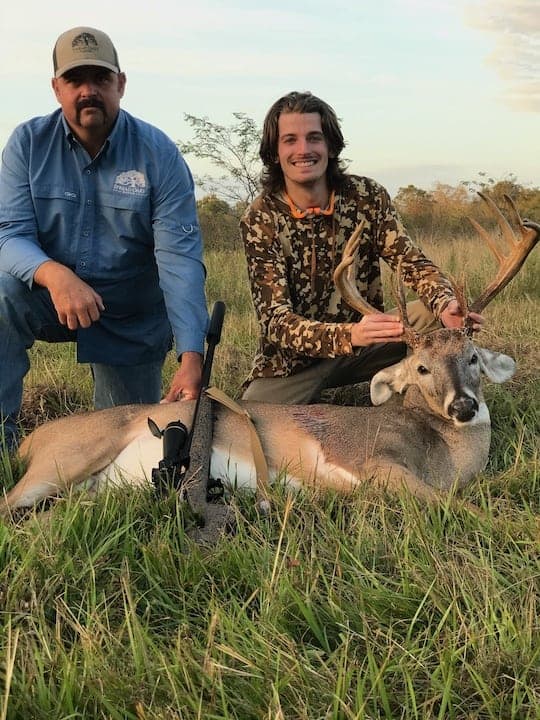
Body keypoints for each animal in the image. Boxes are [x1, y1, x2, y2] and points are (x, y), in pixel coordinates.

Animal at [1, 194, 538, 517]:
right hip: (66, 457)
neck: (446, 455)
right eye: (422, 368)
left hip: (87, 490)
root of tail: (32, 441)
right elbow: (467, 510)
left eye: (472, 356)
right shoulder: (374, 464)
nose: (463, 406)